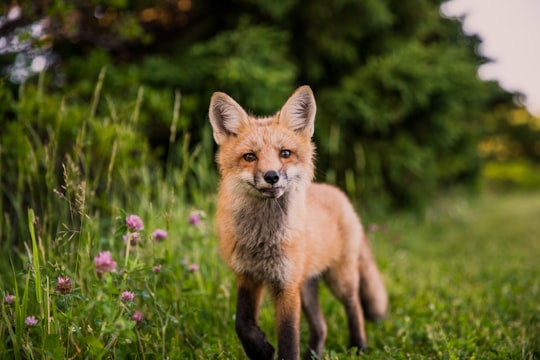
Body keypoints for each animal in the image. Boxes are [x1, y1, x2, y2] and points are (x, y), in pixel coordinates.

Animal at [208, 86, 388, 358]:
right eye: (250, 157)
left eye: (285, 153)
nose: (271, 176)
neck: (262, 240)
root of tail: (338, 193)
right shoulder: (248, 275)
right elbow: (243, 323)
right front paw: (260, 350)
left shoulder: (287, 285)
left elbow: (288, 338)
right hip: (307, 286)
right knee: (322, 325)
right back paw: (314, 353)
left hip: (340, 279)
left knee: (354, 306)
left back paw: (359, 346)